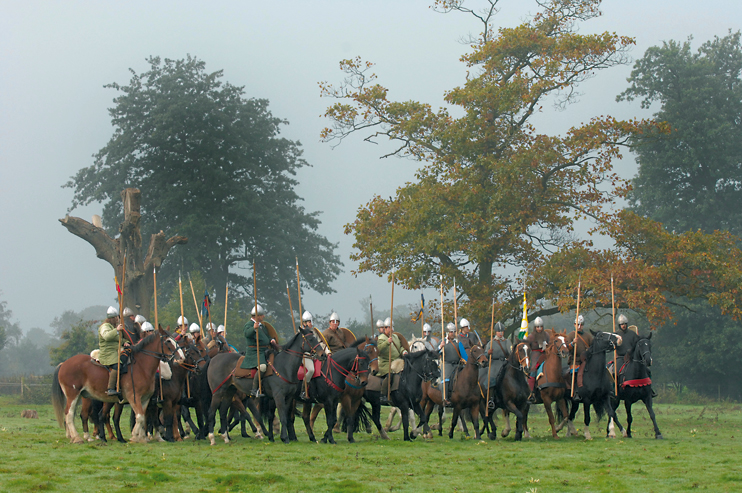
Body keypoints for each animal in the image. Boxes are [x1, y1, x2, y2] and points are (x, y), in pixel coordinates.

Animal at [52, 328, 182, 444]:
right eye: (168, 341)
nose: (181, 358)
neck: (141, 366)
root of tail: (64, 364)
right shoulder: (134, 397)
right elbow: (140, 416)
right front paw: (134, 437)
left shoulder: (145, 399)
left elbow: (142, 418)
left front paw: (142, 438)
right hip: (73, 394)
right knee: (69, 414)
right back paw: (78, 438)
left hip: (81, 395)